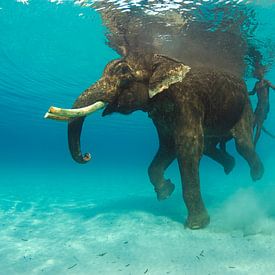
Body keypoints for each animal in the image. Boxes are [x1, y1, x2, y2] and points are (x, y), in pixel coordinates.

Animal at [45, 52, 266, 230]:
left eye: (124, 73)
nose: (87, 155)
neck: (161, 60)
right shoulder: (160, 115)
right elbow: (168, 146)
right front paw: (166, 192)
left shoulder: (187, 102)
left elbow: (187, 147)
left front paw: (196, 225)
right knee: (210, 146)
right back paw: (230, 166)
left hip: (245, 108)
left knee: (242, 144)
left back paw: (257, 176)